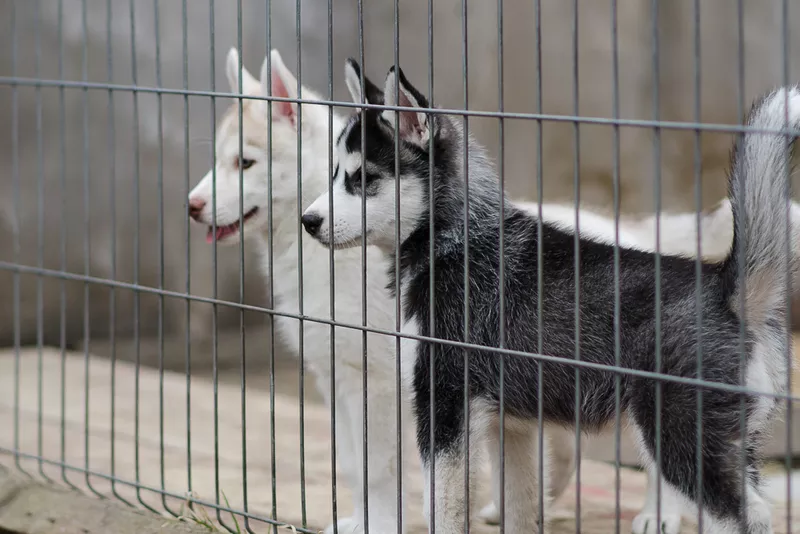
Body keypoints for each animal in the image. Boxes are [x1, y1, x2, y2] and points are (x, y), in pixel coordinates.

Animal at [304, 59, 796, 534]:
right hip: (731, 443)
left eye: (363, 179)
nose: (308, 221)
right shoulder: (511, 426)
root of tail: (727, 289)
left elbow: (442, 509)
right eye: (333, 175)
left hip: (678, 438)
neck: (457, 240)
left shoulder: (444, 406)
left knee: (737, 515)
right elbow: (521, 508)